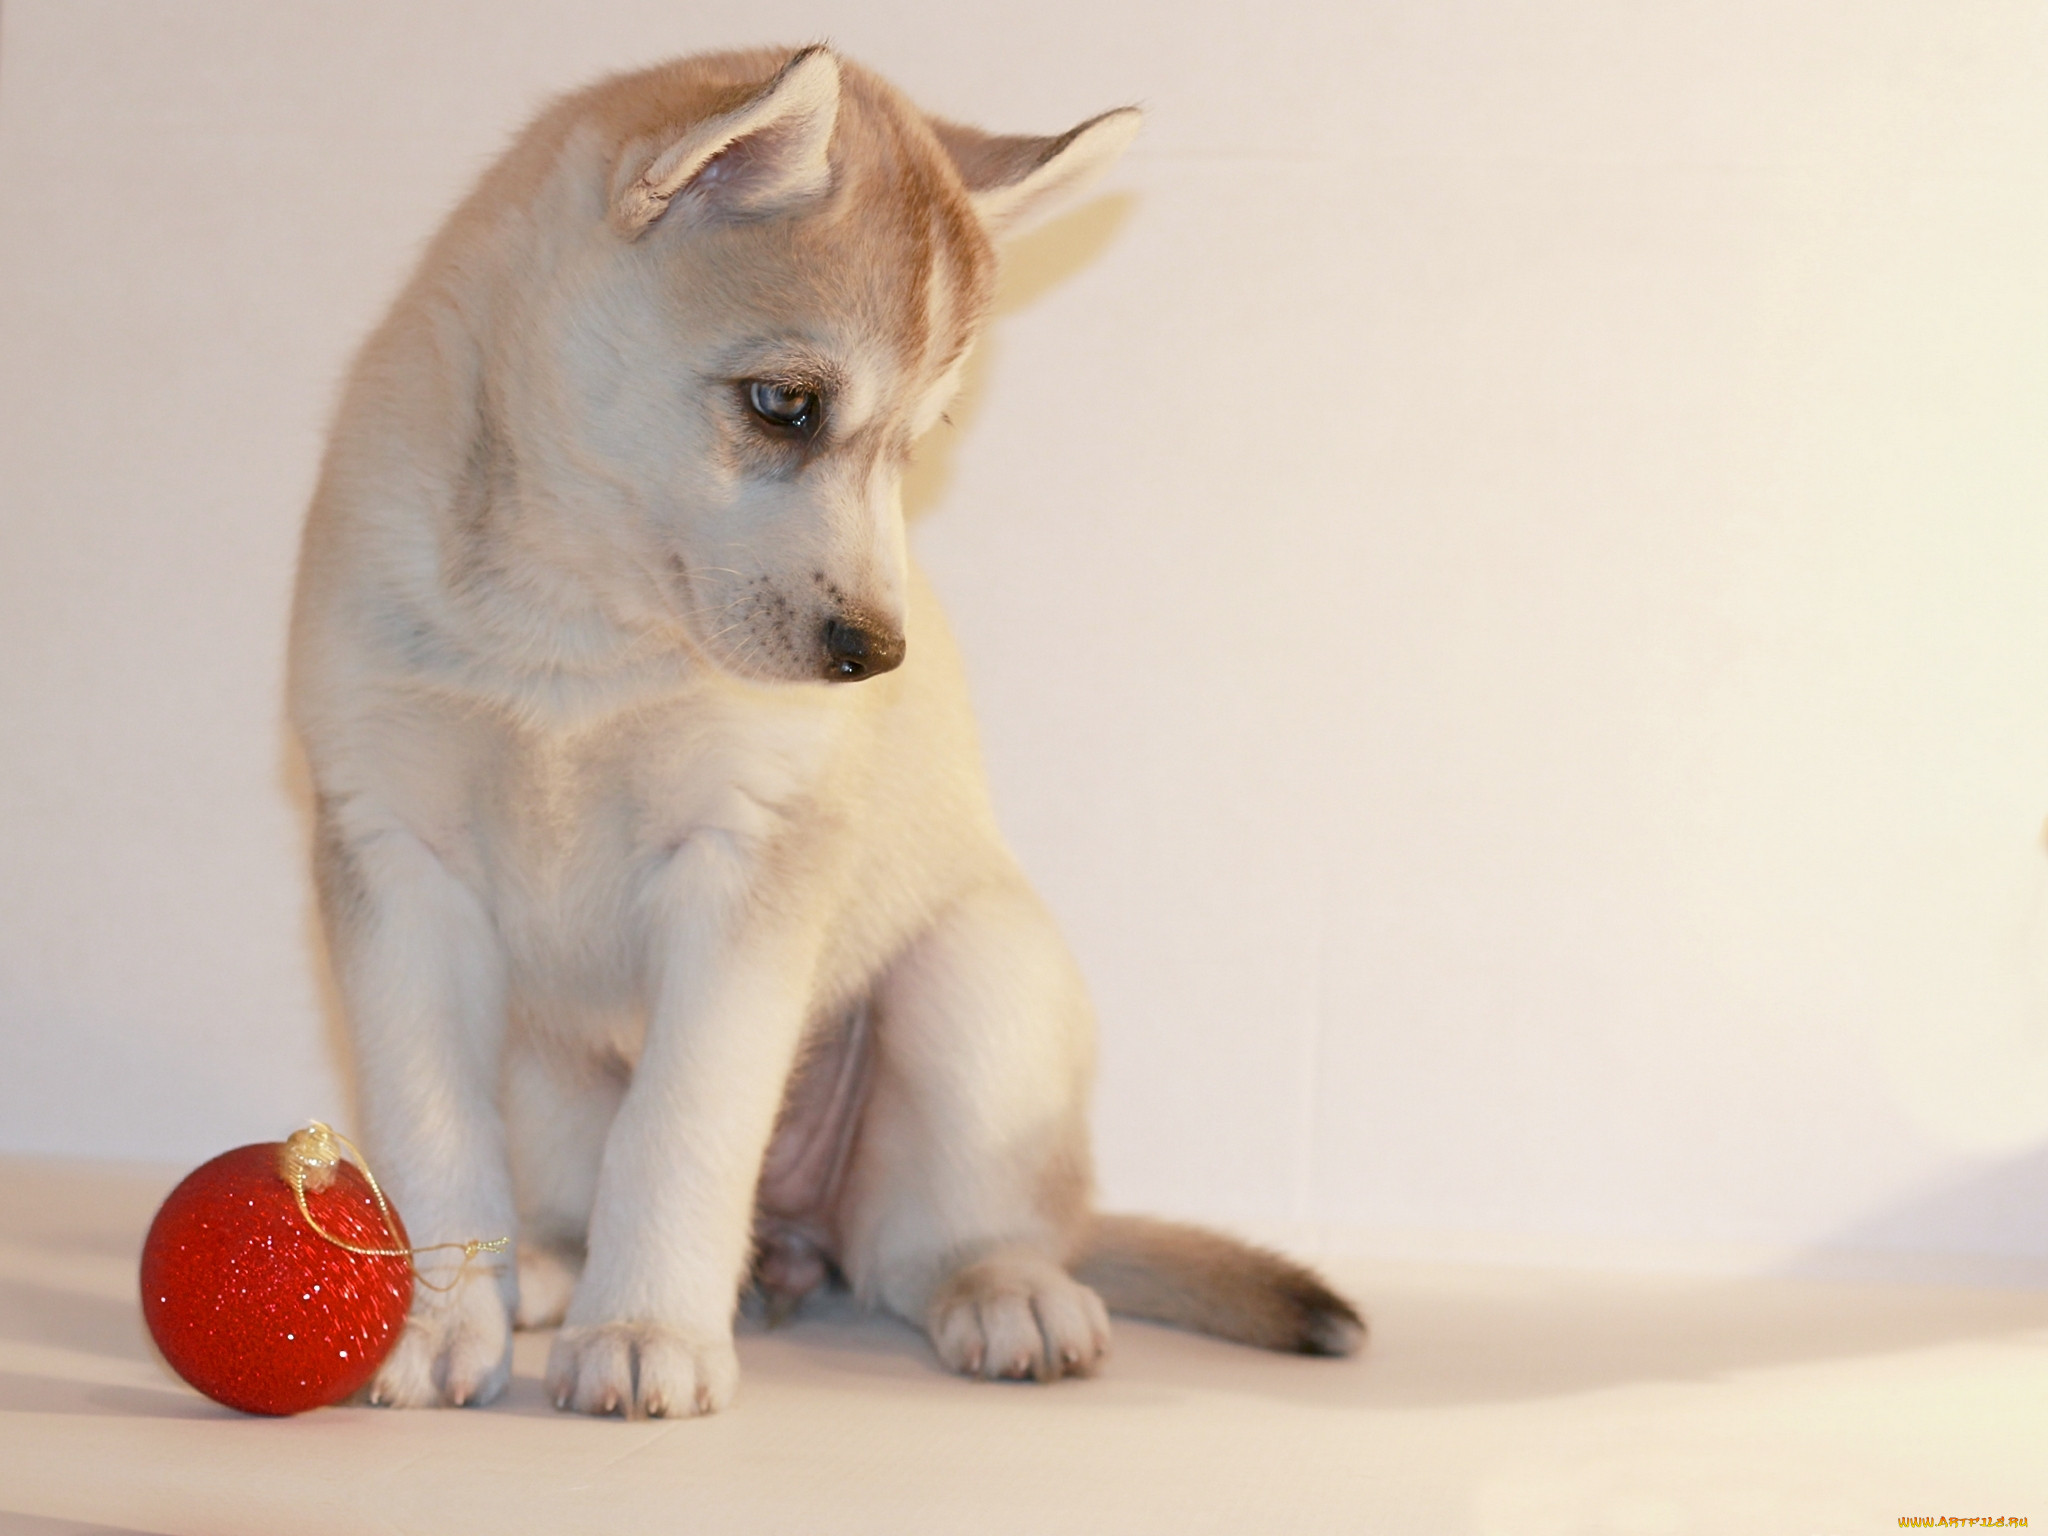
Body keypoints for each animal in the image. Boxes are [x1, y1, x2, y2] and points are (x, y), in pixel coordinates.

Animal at [292, 48, 1359, 1417]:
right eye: (783, 405)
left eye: (914, 444)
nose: (874, 656)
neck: (571, 635)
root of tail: (798, 1241)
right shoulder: (394, 856)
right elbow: (429, 1127)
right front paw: (432, 1326)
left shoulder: (748, 861)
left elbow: (680, 1125)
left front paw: (644, 1330)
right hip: (541, 1052)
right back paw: (552, 1273)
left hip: (973, 985)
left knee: (930, 1246)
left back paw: (1001, 1289)